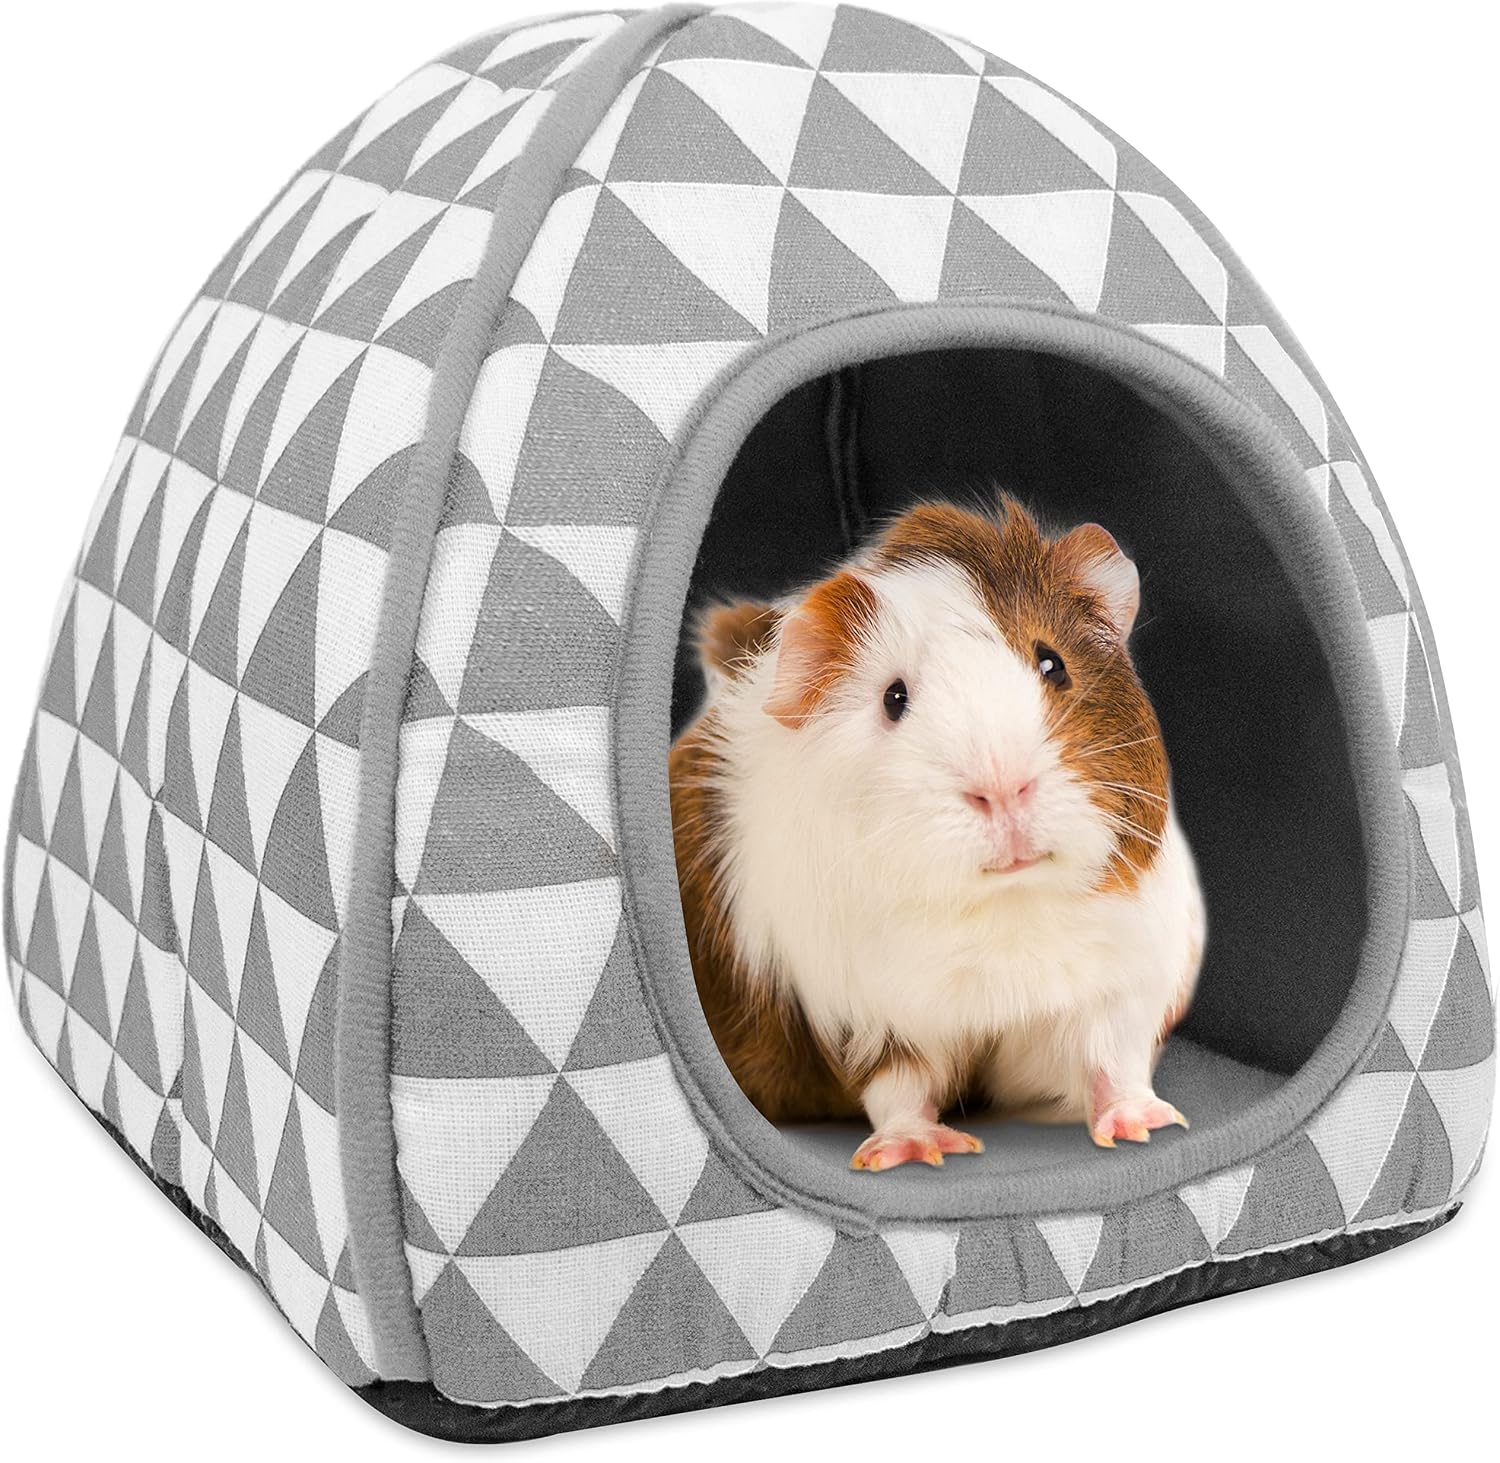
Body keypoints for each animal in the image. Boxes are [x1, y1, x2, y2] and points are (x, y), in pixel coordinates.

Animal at [669, 496, 1205, 1172]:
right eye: (894, 699)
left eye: (1052, 663)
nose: (1002, 786)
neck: (1006, 908)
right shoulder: (871, 1017)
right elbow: (900, 1084)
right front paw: (916, 1150)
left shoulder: (1123, 981)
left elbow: (1112, 1058)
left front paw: (1147, 1123)